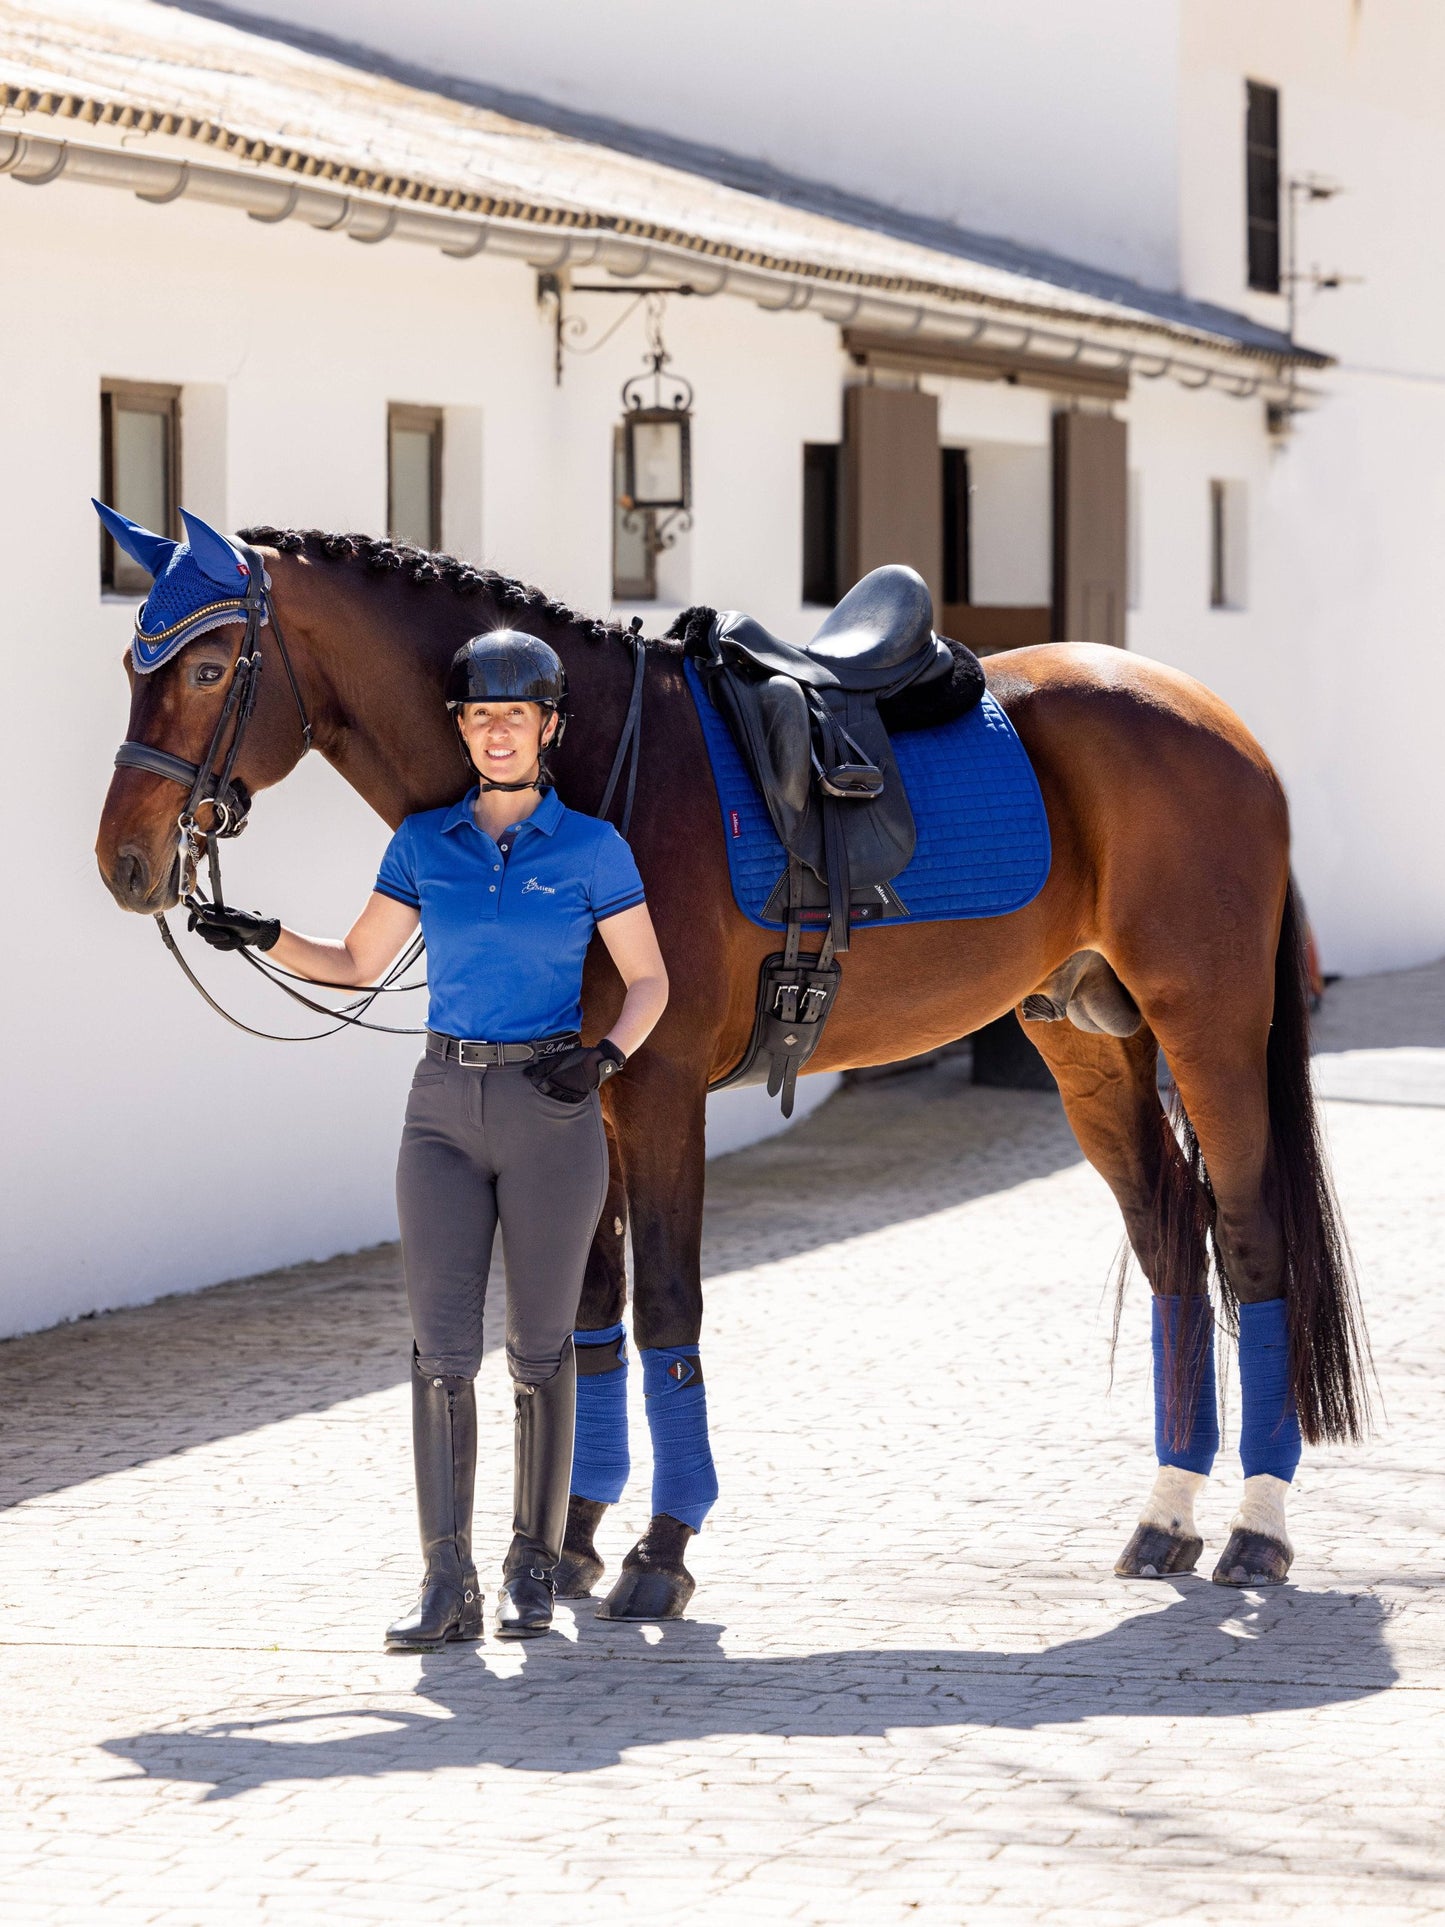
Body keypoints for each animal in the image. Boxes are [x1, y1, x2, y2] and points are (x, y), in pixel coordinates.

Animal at [99, 527, 1371, 1610]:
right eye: (131, 658)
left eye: (207, 667)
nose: (124, 860)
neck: (590, 764)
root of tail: (1217, 723)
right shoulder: (584, 1097)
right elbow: (589, 1315)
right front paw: (571, 1538)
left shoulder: (656, 1090)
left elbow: (667, 1305)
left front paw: (660, 1551)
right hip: (1088, 1040)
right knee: (1168, 1243)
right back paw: (1165, 1515)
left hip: (1207, 1027)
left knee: (1248, 1238)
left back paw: (1254, 1527)